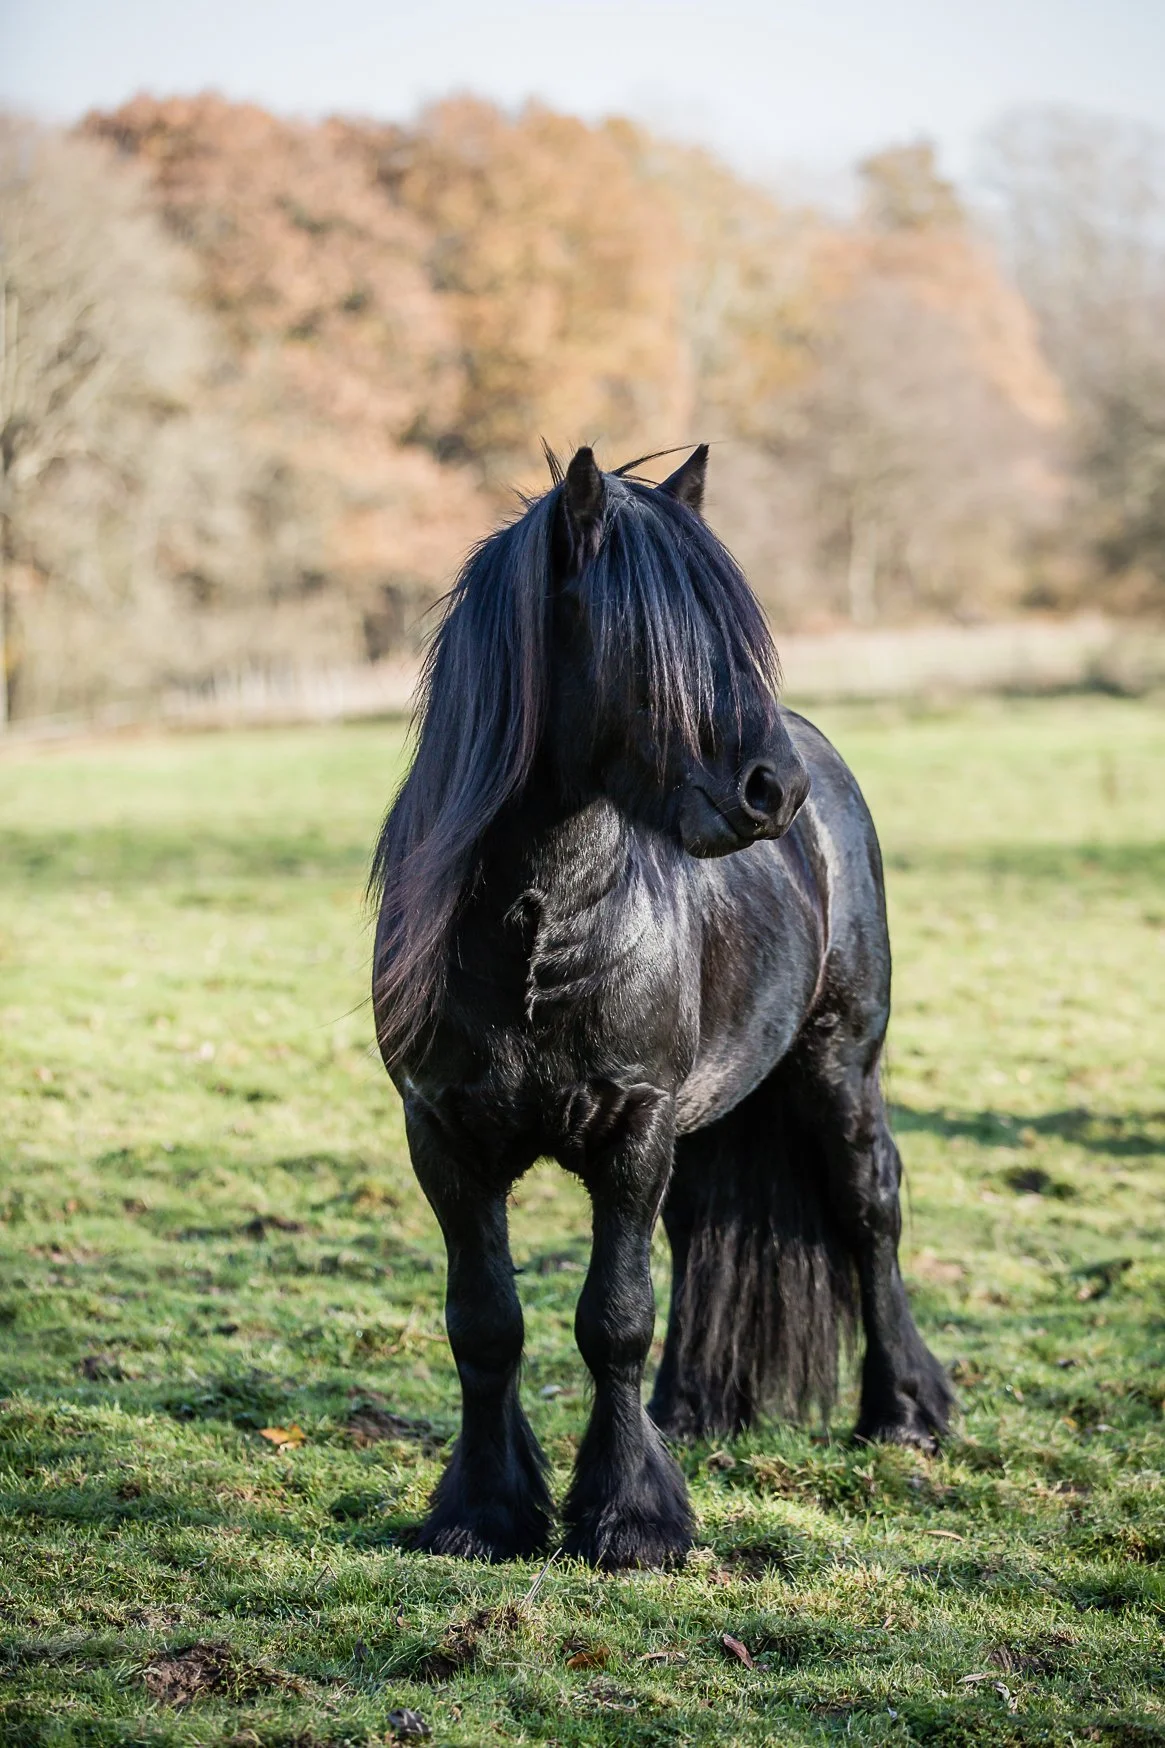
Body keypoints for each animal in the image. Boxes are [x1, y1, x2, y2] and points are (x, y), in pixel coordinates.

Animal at [370, 444, 952, 1571]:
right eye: (645, 639)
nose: (775, 790)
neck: (540, 920)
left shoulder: (633, 1125)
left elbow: (614, 1318)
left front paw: (632, 1518)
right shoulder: (444, 1136)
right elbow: (485, 1322)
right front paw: (483, 1510)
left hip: (838, 1067)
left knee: (869, 1211)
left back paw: (903, 1412)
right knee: (696, 1231)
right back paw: (687, 1408)